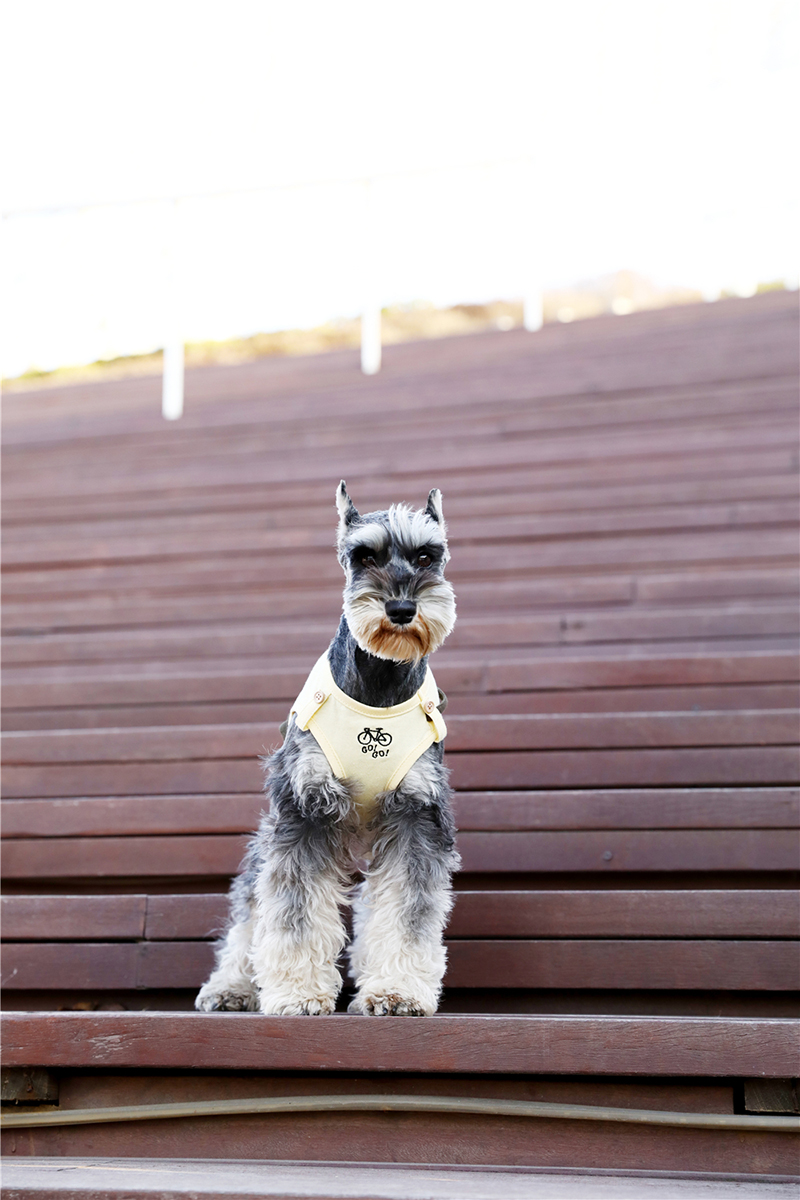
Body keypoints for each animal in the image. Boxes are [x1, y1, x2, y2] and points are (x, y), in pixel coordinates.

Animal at [195, 481, 459, 1016]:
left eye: (427, 556)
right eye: (364, 556)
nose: (401, 610)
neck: (378, 683)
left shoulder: (416, 817)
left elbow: (409, 912)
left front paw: (397, 990)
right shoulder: (304, 812)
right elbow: (291, 915)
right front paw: (298, 993)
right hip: (264, 847)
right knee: (247, 920)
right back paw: (230, 987)